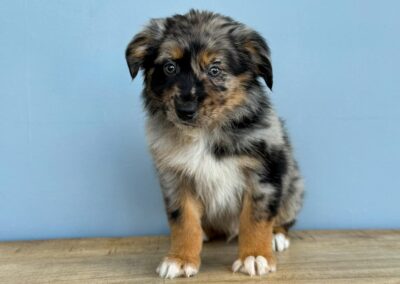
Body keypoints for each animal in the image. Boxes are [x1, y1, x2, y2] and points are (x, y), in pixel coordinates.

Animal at [125, 9, 304, 280]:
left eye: (215, 70)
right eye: (169, 67)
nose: (185, 111)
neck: (206, 133)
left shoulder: (264, 171)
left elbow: (256, 218)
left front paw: (255, 255)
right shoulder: (176, 178)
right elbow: (184, 221)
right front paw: (180, 259)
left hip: (293, 184)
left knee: (283, 217)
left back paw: (276, 236)